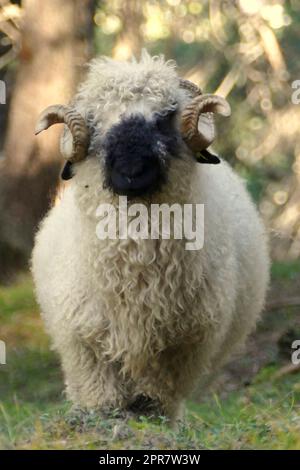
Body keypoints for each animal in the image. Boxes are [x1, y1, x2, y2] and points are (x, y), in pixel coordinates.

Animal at [31, 50, 270, 422]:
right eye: (96, 124)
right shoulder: (83, 341)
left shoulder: (183, 346)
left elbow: (156, 395)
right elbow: (102, 396)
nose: (132, 171)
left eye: (166, 117)